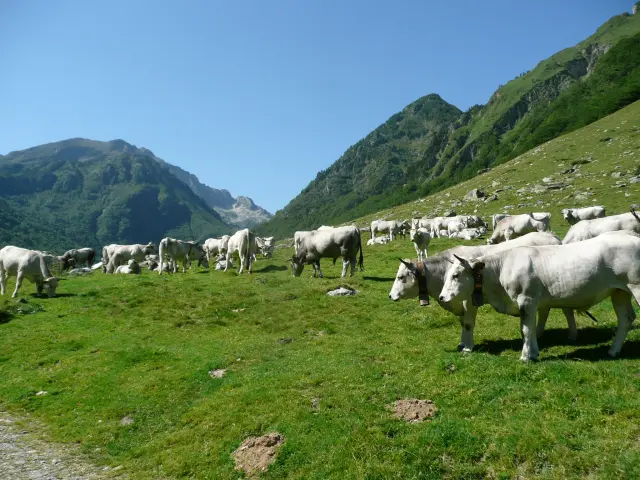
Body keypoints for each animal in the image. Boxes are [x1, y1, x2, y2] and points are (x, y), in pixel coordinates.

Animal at [388, 232, 581, 353]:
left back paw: (572, 335)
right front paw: (462, 343)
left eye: (400, 277)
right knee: (544, 310)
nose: (390, 296)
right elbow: (463, 323)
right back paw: (540, 333)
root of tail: (551, 236)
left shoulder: (468, 301)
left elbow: (468, 323)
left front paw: (468, 348)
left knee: (567, 309)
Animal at [438, 231, 640, 361]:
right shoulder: (530, 304)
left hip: (635, 286)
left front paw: (525, 356)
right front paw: (534, 353)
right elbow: (531, 328)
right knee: (626, 318)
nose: (441, 297)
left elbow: (526, 329)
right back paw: (613, 351)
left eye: (456, 275)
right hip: (619, 291)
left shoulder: (526, 300)